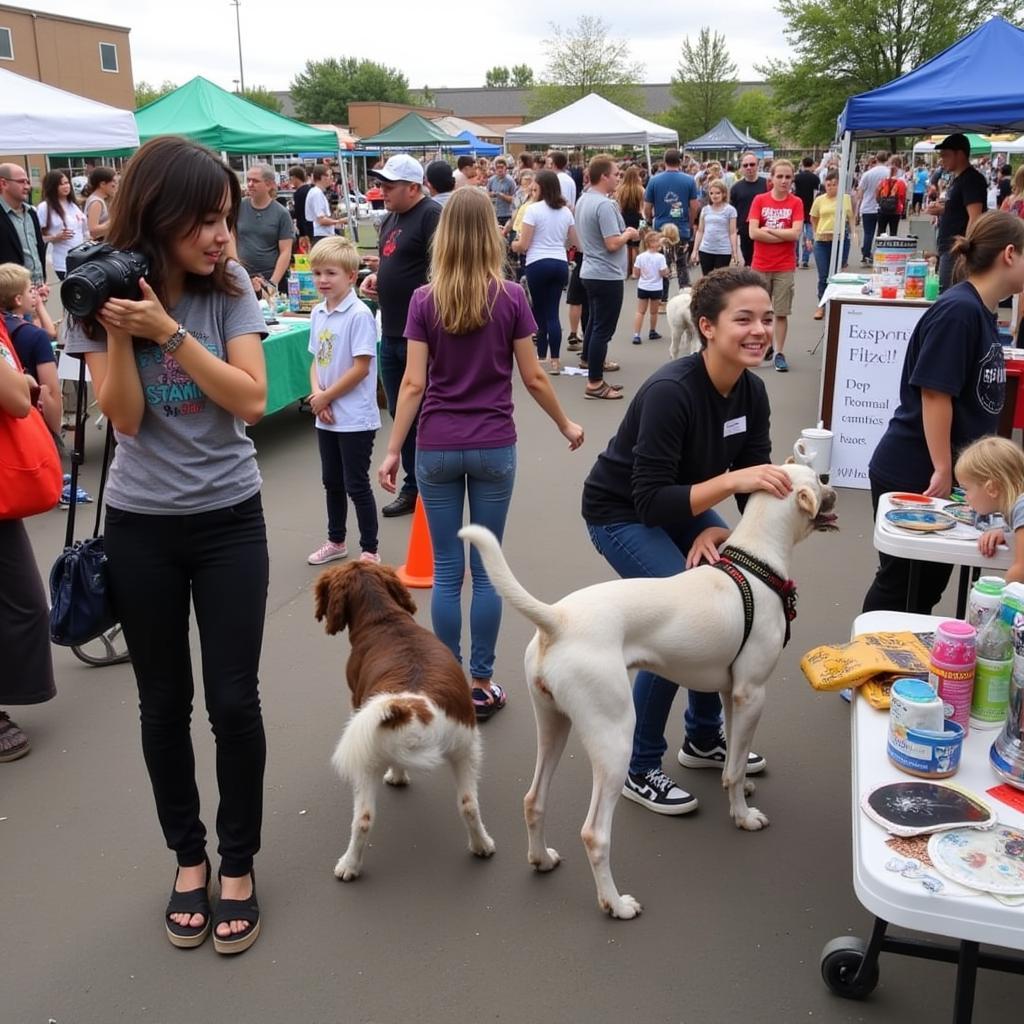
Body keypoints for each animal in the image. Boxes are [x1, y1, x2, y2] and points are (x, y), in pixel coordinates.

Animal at [315, 561, 499, 880]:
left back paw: (349, 865)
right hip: (466, 749)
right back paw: (482, 845)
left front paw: (397, 775)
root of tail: (414, 705)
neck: (383, 618)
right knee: (468, 804)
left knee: (362, 819)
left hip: (366, 757)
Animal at [460, 464, 835, 921]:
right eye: (819, 479)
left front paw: (740, 784)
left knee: (534, 800)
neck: (756, 564)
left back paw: (542, 859)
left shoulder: (733, 695)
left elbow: (735, 754)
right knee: (594, 833)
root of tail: (558, 619)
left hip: (553, 727)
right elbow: (732, 770)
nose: (833, 487)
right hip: (615, 738)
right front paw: (743, 816)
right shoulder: (753, 694)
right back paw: (615, 903)